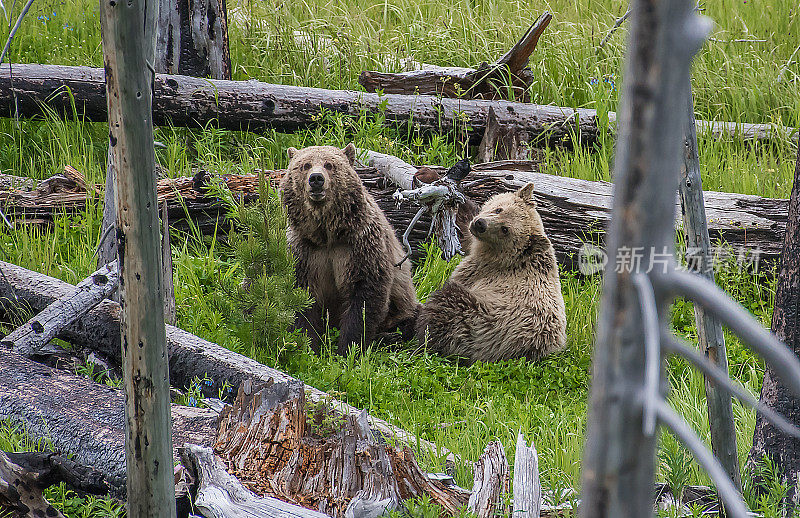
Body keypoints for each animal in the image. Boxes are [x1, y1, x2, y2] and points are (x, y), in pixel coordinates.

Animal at [282, 145, 418, 358]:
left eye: (329, 164)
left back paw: (390, 337)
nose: (316, 179)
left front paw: (348, 348)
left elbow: (364, 297)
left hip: (404, 305)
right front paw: (308, 345)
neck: (327, 234)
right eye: (305, 165)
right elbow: (302, 296)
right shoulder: (303, 250)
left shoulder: (360, 245)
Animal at [416, 185, 564, 364]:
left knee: (446, 306)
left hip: (480, 321)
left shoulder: (480, 269)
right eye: (499, 209)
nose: (481, 224)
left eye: (505, 229)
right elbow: (464, 227)